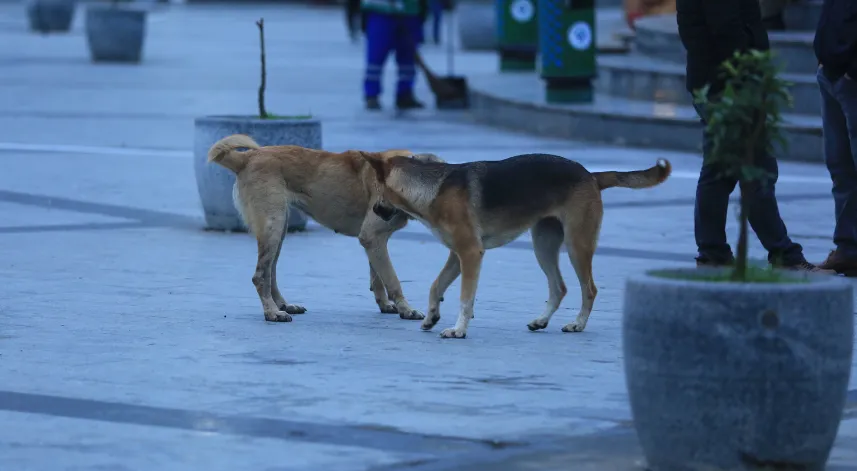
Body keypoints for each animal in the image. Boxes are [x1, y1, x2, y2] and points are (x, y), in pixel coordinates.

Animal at [206, 135, 442, 322]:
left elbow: (377, 276)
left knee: (270, 272)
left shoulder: (374, 240)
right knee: (260, 275)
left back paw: (283, 305)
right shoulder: (372, 236)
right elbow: (392, 279)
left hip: (279, 229)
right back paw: (272, 312)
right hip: (272, 225)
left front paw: (384, 304)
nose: (377, 208)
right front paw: (406, 309)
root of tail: (247, 158)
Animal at [358, 151, 672, 340]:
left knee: (589, 289)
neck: (431, 189)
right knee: (559, 288)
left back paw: (578, 324)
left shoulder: (470, 254)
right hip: (543, 245)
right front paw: (432, 317)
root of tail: (591, 175)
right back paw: (541, 321)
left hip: (577, 245)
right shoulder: (457, 255)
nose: (374, 210)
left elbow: (465, 298)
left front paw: (458, 329)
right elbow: (436, 286)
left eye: (377, 191)